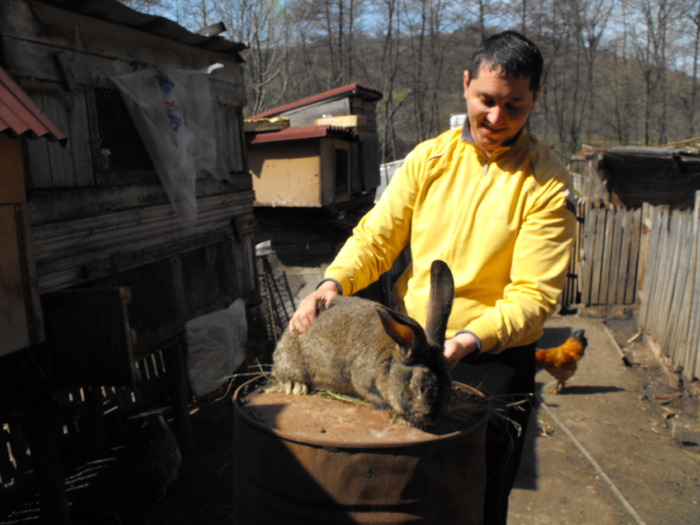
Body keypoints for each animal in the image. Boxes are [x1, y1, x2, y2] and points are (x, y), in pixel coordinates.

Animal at [268, 258, 454, 426]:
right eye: (415, 386)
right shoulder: (362, 383)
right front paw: (399, 418)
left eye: (448, 383)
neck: (390, 361)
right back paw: (296, 386)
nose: (432, 418)